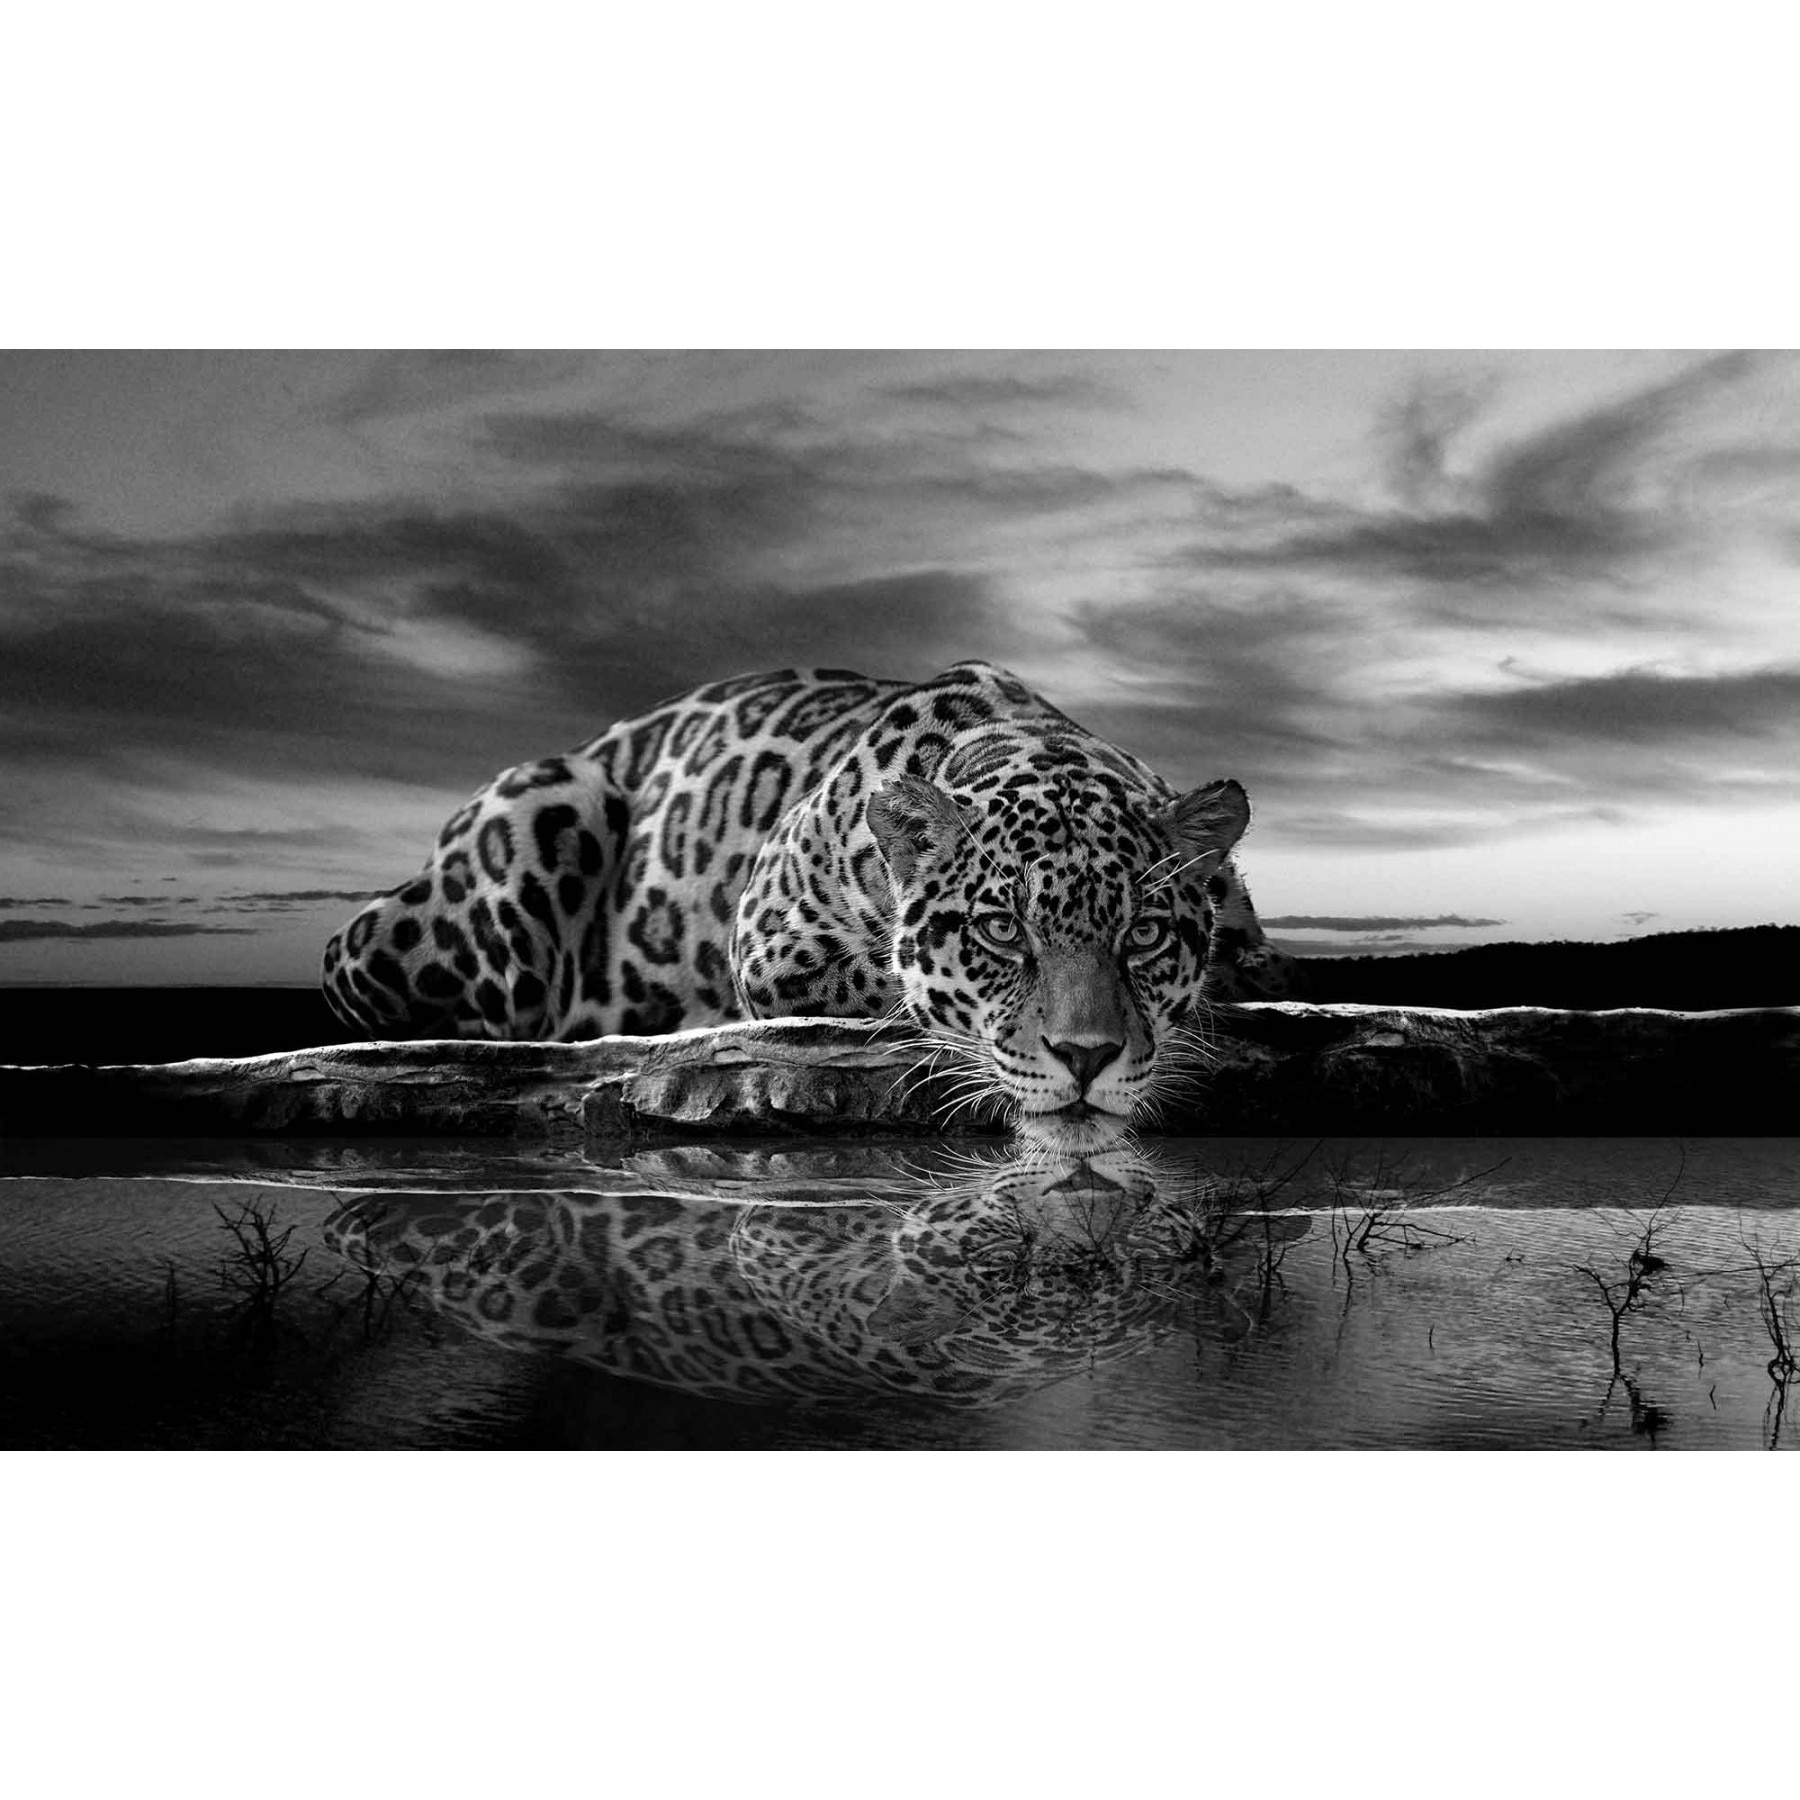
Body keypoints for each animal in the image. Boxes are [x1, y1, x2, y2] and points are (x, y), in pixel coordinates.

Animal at [321, 661, 1304, 1131]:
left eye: (1142, 936)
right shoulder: (772, 943)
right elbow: (900, 988)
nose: (1088, 1060)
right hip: (542, 809)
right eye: (999, 932)